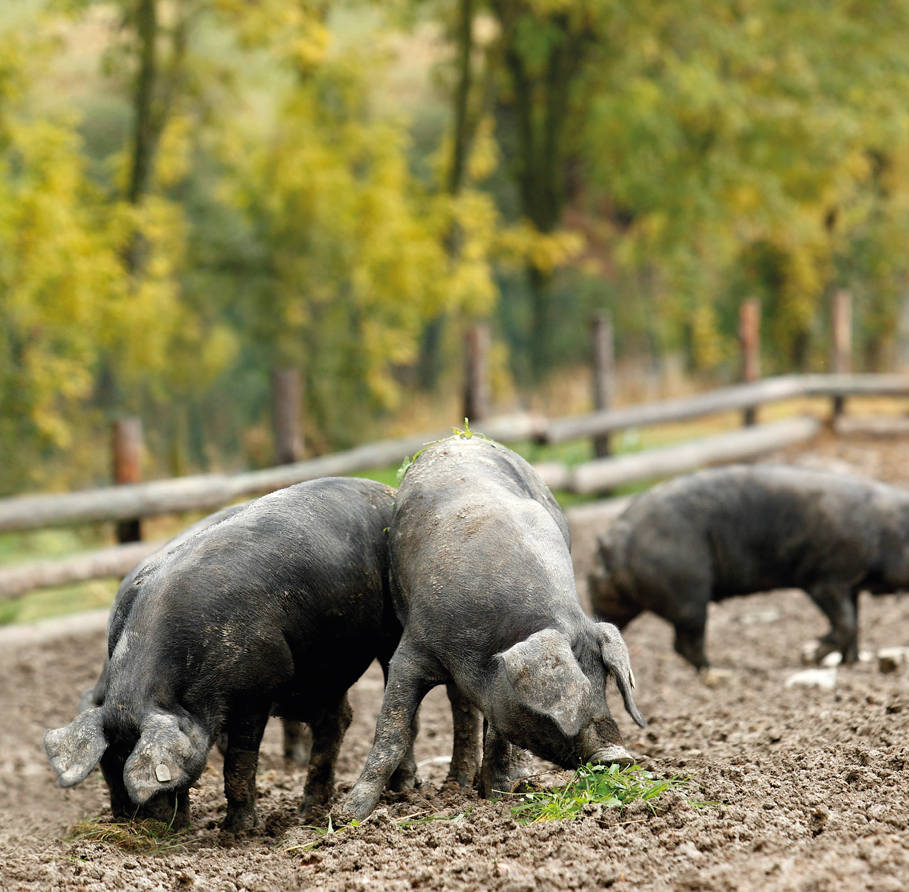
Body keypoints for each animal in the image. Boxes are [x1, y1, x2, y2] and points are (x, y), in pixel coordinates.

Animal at [45, 477, 414, 834]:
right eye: (107, 765)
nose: (133, 823)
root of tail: (385, 490)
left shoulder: (256, 690)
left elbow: (238, 763)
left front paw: (239, 833)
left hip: (391, 632)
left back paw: (402, 791)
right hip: (327, 667)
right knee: (336, 721)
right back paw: (307, 812)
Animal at [340, 435, 646, 822]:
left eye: (604, 682)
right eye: (572, 695)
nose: (620, 756)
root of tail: (462, 437)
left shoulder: (499, 685)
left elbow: (498, 733)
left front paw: (499, 796)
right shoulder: (412, 652)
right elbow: (392, 733)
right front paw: (349, 816)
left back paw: (495, 781)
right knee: (459, 711)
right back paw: (456, 784)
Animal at [588, 464, 909, 670]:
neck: (886, 528)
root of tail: (612, 540)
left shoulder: (851, 584)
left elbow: (855, 622)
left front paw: (850, 662)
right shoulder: (825, 578)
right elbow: (846, 622)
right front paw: (812, 657)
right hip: (687, 590)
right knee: (686, 640)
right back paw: (718, 670)